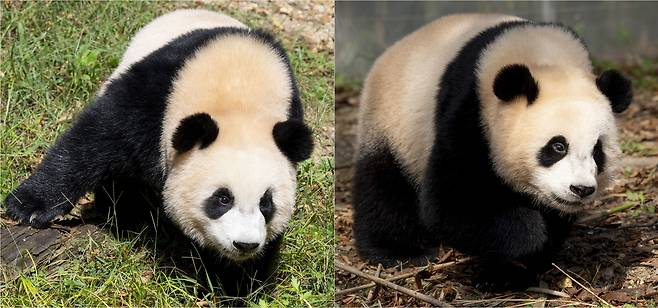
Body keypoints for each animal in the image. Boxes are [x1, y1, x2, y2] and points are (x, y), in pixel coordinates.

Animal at [3, 9, 312, 294]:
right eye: (222, 198)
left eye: (266, 203)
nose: (245, 244)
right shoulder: (158, 96)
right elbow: (96, 138)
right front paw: (28, 207)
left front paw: (237, 282)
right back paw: (124, 213)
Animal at [354, 13, 632, 288]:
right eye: (558, 146)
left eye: (597, 151)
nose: (581, 189)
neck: (547, 60)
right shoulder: (470, 112)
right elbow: (452, 201)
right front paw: (527, 238)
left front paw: (518, 268)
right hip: (393, 124)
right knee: (384, 187)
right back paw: (400, 252)